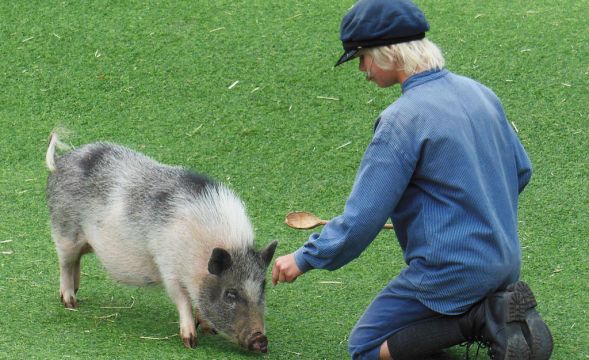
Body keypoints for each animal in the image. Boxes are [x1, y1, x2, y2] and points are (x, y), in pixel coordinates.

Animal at [43, 134, 278, 352]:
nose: (261, 339)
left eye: (263, 286)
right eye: (230, 293)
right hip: (64, 231)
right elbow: (182, 301)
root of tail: (61, 161)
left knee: (76, 261)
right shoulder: (169, 269)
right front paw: (190, 342)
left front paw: (208, 329)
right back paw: (70, 303)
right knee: (65, 264)